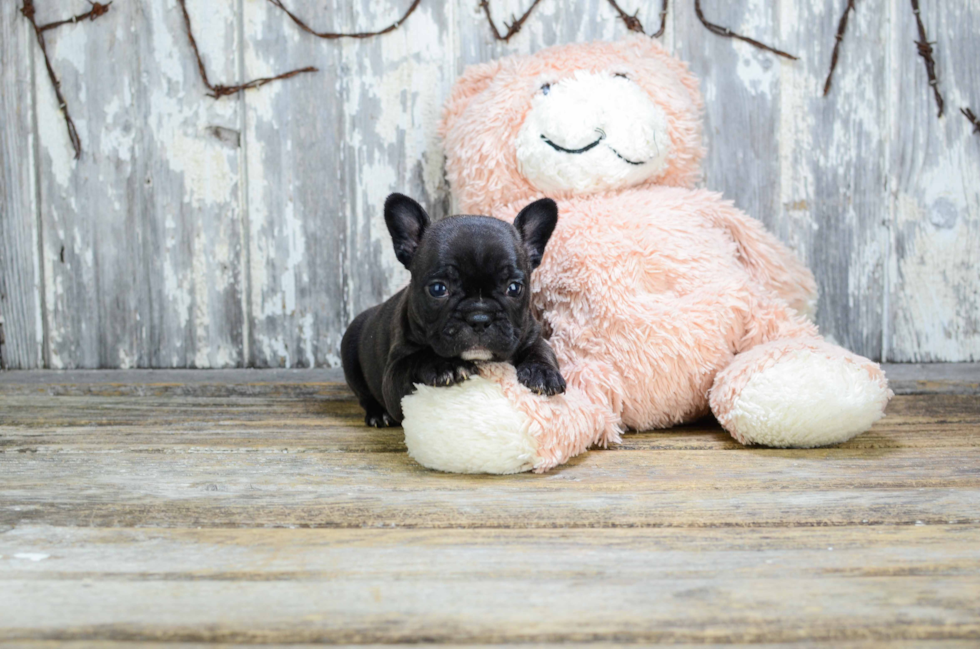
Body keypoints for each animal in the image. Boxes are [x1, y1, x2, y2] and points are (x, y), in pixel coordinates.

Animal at [340, 192, 564, 426]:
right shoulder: (394, 376)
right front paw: (446, 365)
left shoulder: (532, 334)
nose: (479, 318)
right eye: (438, 289)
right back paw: (378, 413)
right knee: (364, 395)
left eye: (514, 288)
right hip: (350, 354)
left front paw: (543, 373)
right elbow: (416, 358)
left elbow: (541, 350)